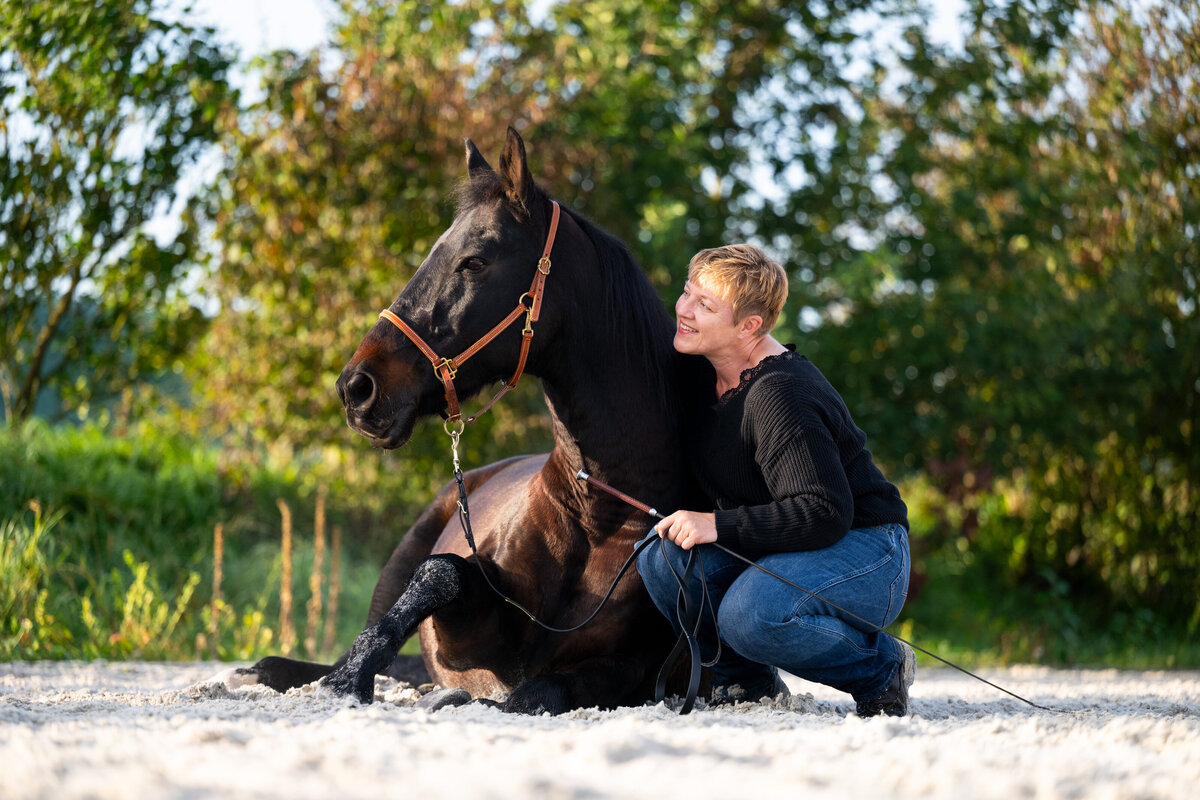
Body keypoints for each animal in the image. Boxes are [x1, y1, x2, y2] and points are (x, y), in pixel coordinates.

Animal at [235, 127, 711, 713]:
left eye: (475, 262)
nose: (357, 388)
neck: (596, 513)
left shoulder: (637, 667)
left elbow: (538, 690)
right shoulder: (467, 625)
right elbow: (441, 573)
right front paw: (348, 679)